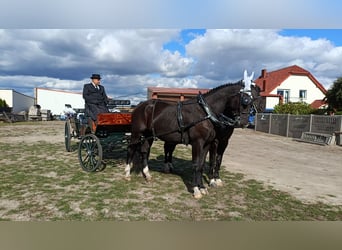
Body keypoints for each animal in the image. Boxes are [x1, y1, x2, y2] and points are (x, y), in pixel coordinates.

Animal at [126, 81, 260, 198]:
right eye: (245, 99)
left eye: (255, 98)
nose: (245, 123)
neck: (205, 112)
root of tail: (140, 106)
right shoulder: (198, 143)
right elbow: (196, 164)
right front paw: (196, 190)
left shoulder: (208, 144)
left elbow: (202, 164)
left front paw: (203, 187)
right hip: (136, 133)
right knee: (131, 149)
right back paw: (127, 173)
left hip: (148, 135)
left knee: (145, 151)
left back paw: (147, 174)